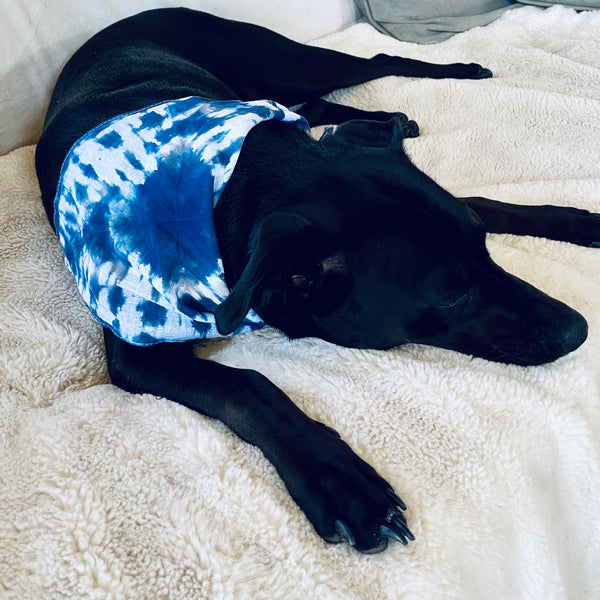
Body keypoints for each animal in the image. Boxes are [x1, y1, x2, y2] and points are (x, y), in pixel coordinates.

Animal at [35, 8, 596, 552]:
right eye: (453, 293)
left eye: (483, 247)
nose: (579, 330)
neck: (235, 185)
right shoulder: (136, 351)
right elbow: (247, 386)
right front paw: (339, 481)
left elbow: (485, 202)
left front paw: (573, 221)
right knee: (335, 91)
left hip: (289, 66)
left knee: (364, 69)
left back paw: (435, 89)